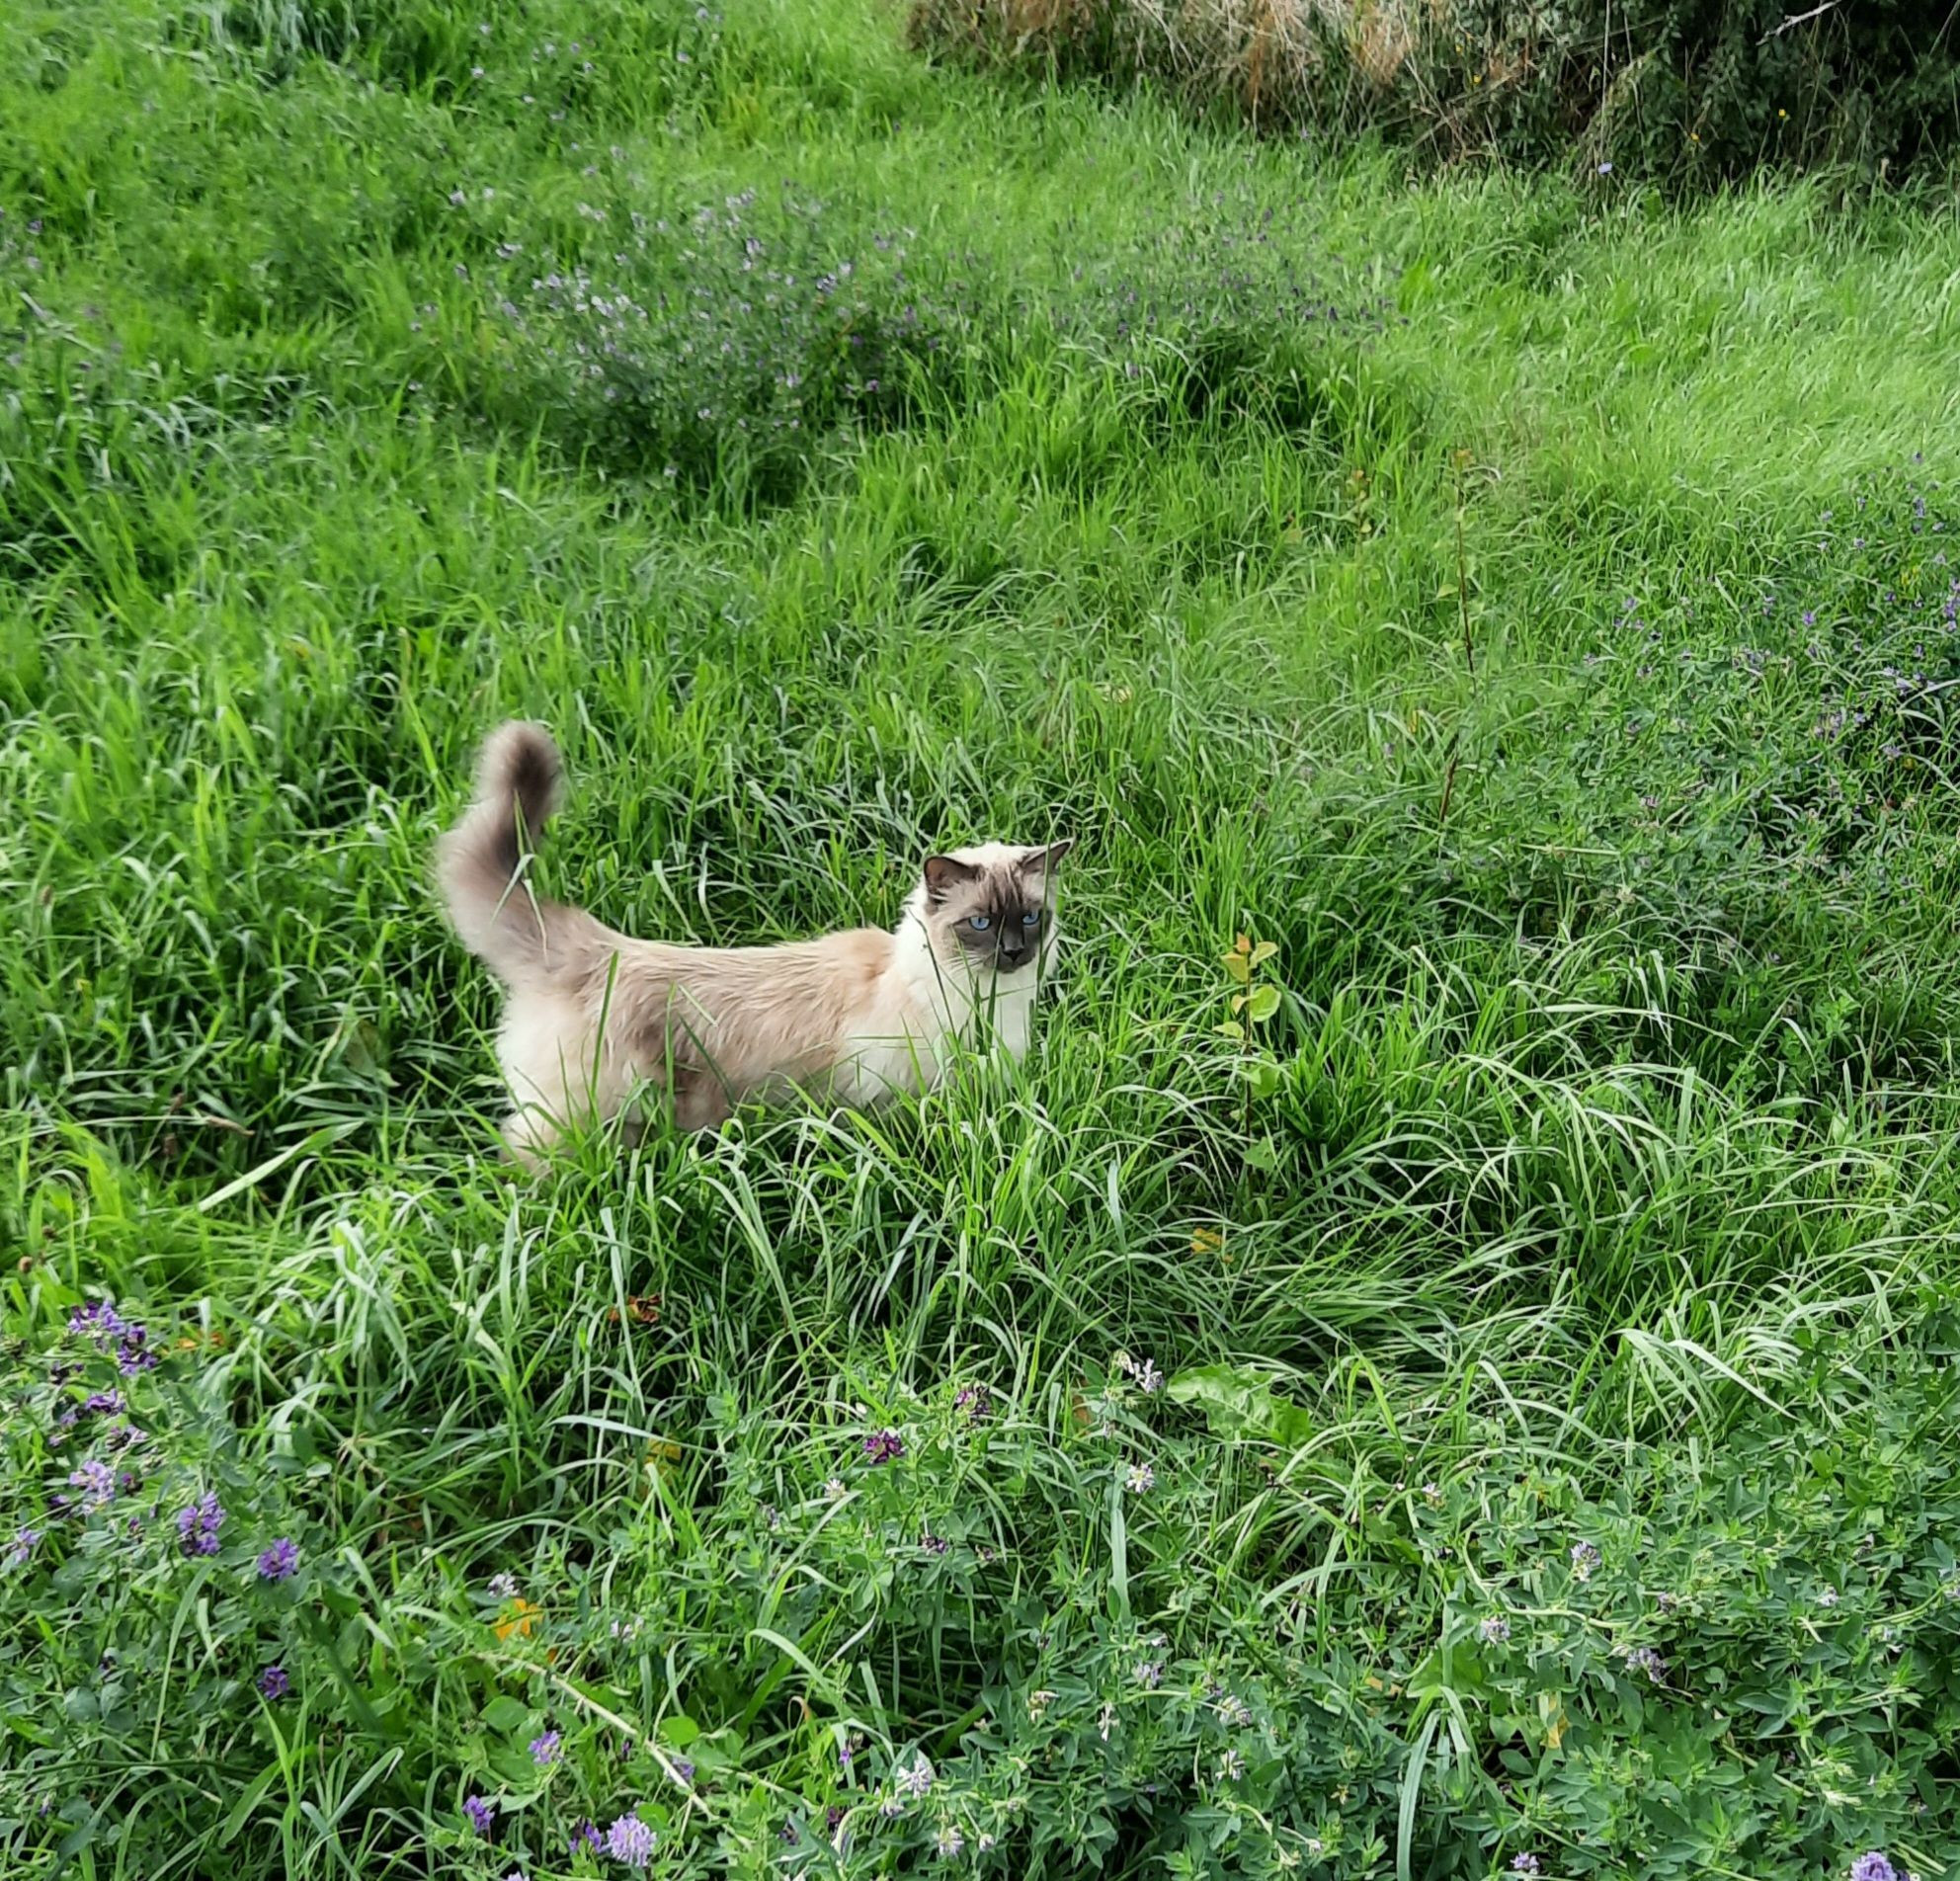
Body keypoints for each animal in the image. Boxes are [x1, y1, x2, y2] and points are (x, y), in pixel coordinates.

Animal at [435, 720, 1074, 1160]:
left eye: (1030, 918)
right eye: (982, 924)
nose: (1015, 953)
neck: (988, 1007)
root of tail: (599, 944)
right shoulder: (893, 1104)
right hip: (583, 1120)